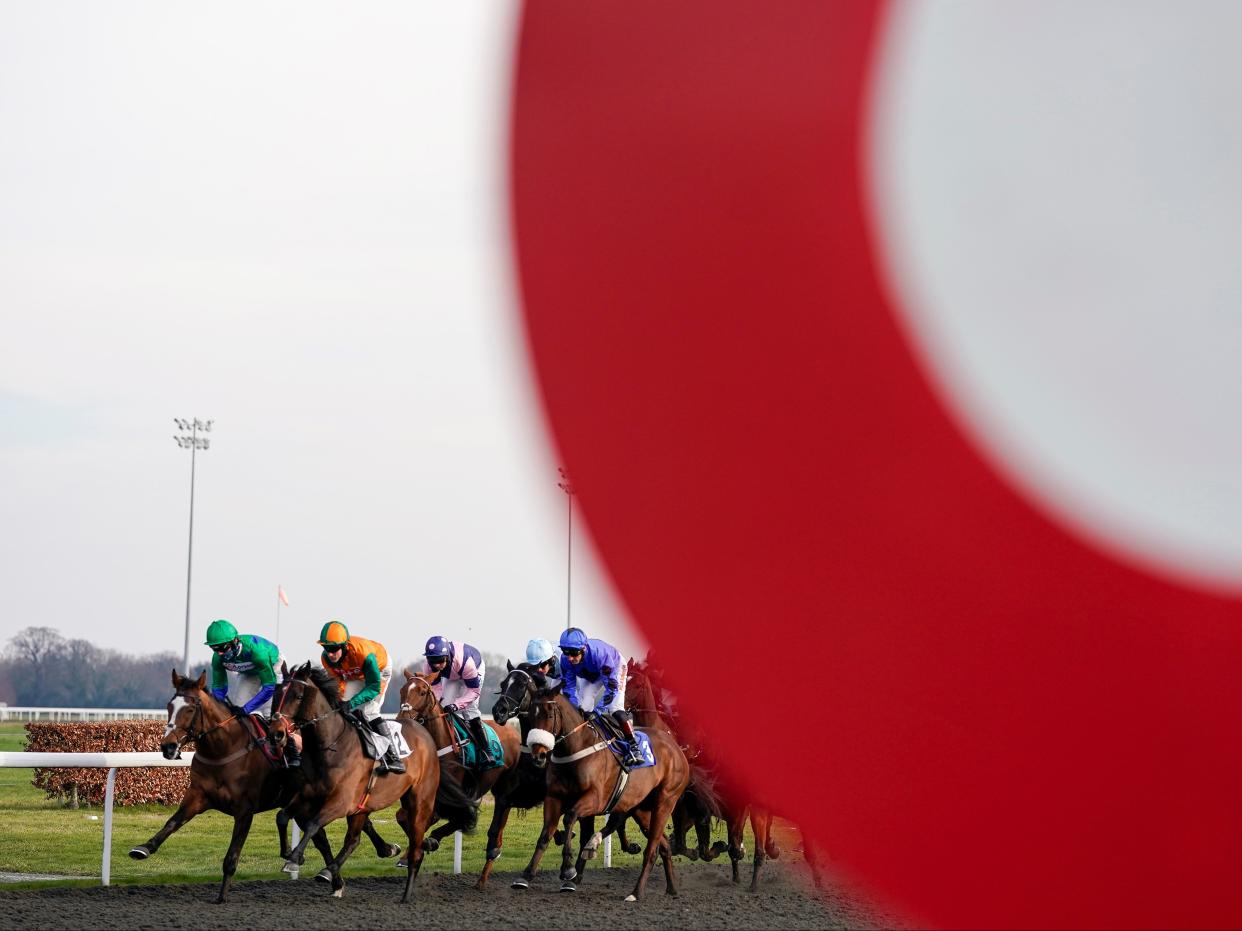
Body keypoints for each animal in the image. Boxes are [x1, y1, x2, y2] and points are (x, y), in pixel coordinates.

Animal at [129, 670, 397, 903]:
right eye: (169, 706)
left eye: (191, 708)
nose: (168, 747)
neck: (223, 749)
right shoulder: (198, 796)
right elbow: (172, 822)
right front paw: (143, 848)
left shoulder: (244, 811)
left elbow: (231, 857)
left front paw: (222, 896)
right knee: (323, 837)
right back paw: (340, 877)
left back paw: (379, 853)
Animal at [267, 665, 469, 903]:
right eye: (276, 694)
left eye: (298, 696)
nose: (276, 733)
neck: (330, 746)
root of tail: (425, 734)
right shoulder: (308, 796)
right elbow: (282, 816)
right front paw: (288, 853)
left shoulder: (341, 802)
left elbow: (313, 824)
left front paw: (294, 858)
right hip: (364, 804)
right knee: (354, 840)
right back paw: (333, 870)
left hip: (420, 801)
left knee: (415, 847)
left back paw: (406, 893)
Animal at [514, 680, 690, 903]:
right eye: (530, 715)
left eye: (549, 714)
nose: (538, 755)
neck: (576, 749)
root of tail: (675, 747)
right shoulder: (554, 797)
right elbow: (546, 834)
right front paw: (526, 875)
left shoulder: (596, 799)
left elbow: (569, 818)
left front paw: (568, 870)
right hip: (641, 809)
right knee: (663, 845)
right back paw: (672, 888)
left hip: (665, 801)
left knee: (652, 849)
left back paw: (636, 892)